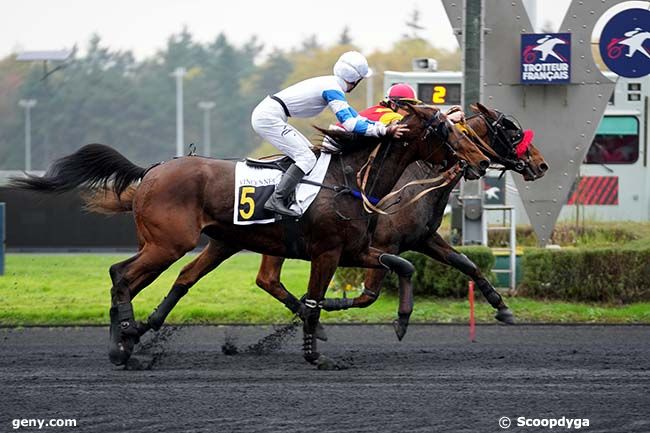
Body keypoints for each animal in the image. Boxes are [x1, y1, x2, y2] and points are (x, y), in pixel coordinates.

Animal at [10, 104, 488, 364]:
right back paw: (123, 341)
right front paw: (315, 353)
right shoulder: (327, 252)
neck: (348, 177)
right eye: (444, 129)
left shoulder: (353, 249)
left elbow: (402, 264)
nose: (480, 162)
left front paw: (403, 321)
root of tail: (152, 171)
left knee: (152, 278)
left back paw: (133, 334)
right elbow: (313, 302)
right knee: (123, 276)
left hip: (203, 243)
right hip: (170, 243)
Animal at [253, 104, 548, 338]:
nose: (541, 165)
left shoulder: (424, 239)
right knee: (269, 280)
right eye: (514, 134)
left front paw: (502, 307)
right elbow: (368, 295)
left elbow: (467, 263)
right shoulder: (385, 245)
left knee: (267, 280)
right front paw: (325, 304)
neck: (416, 182)